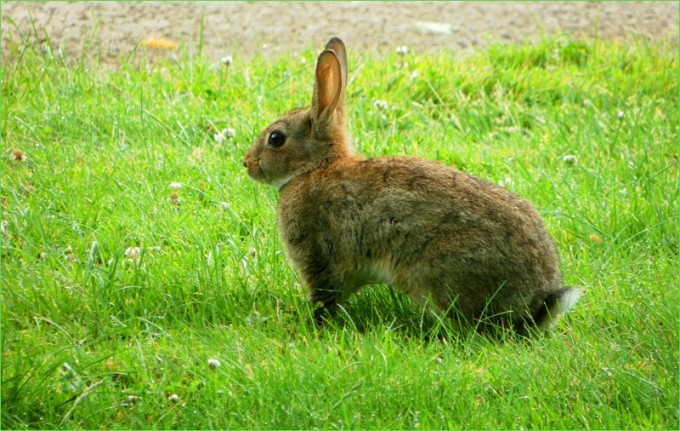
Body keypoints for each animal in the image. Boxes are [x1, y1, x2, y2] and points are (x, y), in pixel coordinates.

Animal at [243, 37, 583, 332]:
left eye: (276, 139)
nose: (247, 164)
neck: (315, 168)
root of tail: (536, 305)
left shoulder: (319, 257)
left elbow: (324, 298)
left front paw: (312, 324)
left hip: (440, 273)